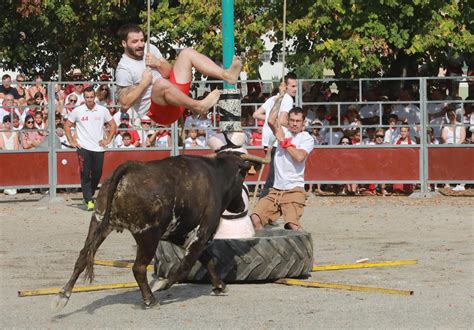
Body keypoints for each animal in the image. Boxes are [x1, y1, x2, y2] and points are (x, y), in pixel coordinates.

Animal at [53, 152, 266, 310]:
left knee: (83, 256)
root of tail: (130, 168)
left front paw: (220, 286)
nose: (240, 207)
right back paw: (150, 299)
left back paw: (63, 295)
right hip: (148, 235)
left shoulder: (181, 234)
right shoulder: (203, 231)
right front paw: (163, 284)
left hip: (98, 223)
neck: (217, 175)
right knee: (138, 268)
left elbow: (206, 259)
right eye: (242, 177)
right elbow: (187, 264)